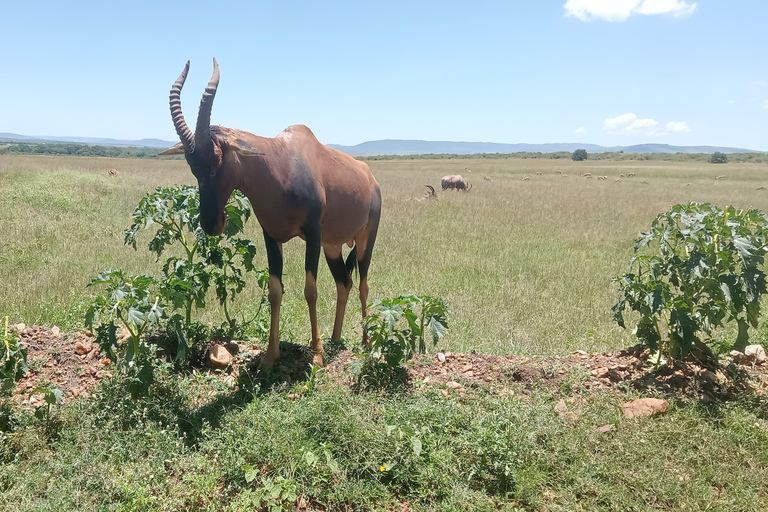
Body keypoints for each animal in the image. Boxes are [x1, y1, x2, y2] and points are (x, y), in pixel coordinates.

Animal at [158, 60, 380, 370]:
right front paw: (269, 358)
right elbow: (275, 291)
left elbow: (310, 290)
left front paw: (316, 355)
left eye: (218, 158)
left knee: (363, 284)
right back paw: (336, 340)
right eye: (192, 165)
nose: (212, 224)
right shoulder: (271, 236)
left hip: (364, 239)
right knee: (344, 283)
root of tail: (371, 178)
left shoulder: (313, 234)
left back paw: (365, 343)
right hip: (333, 246)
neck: (283, 162)